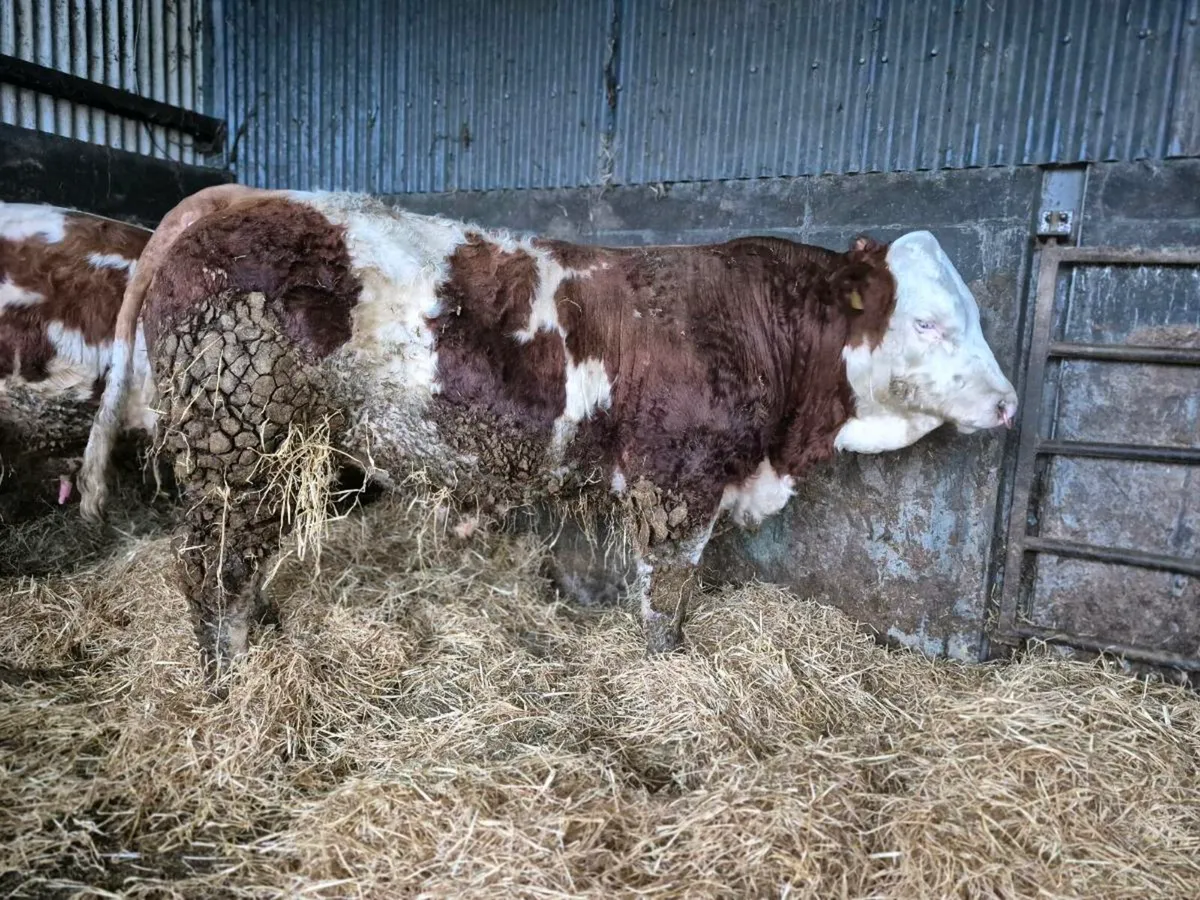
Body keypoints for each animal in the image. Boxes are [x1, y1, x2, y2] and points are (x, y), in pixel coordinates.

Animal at [78, 185, 1018, 684]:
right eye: (929, 322)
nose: (1011, 405)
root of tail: (247, 196)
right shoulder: (679, 478)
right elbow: (668, 592)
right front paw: (668, 669)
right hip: (237, 442)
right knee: (211, 563)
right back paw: (229, 674)